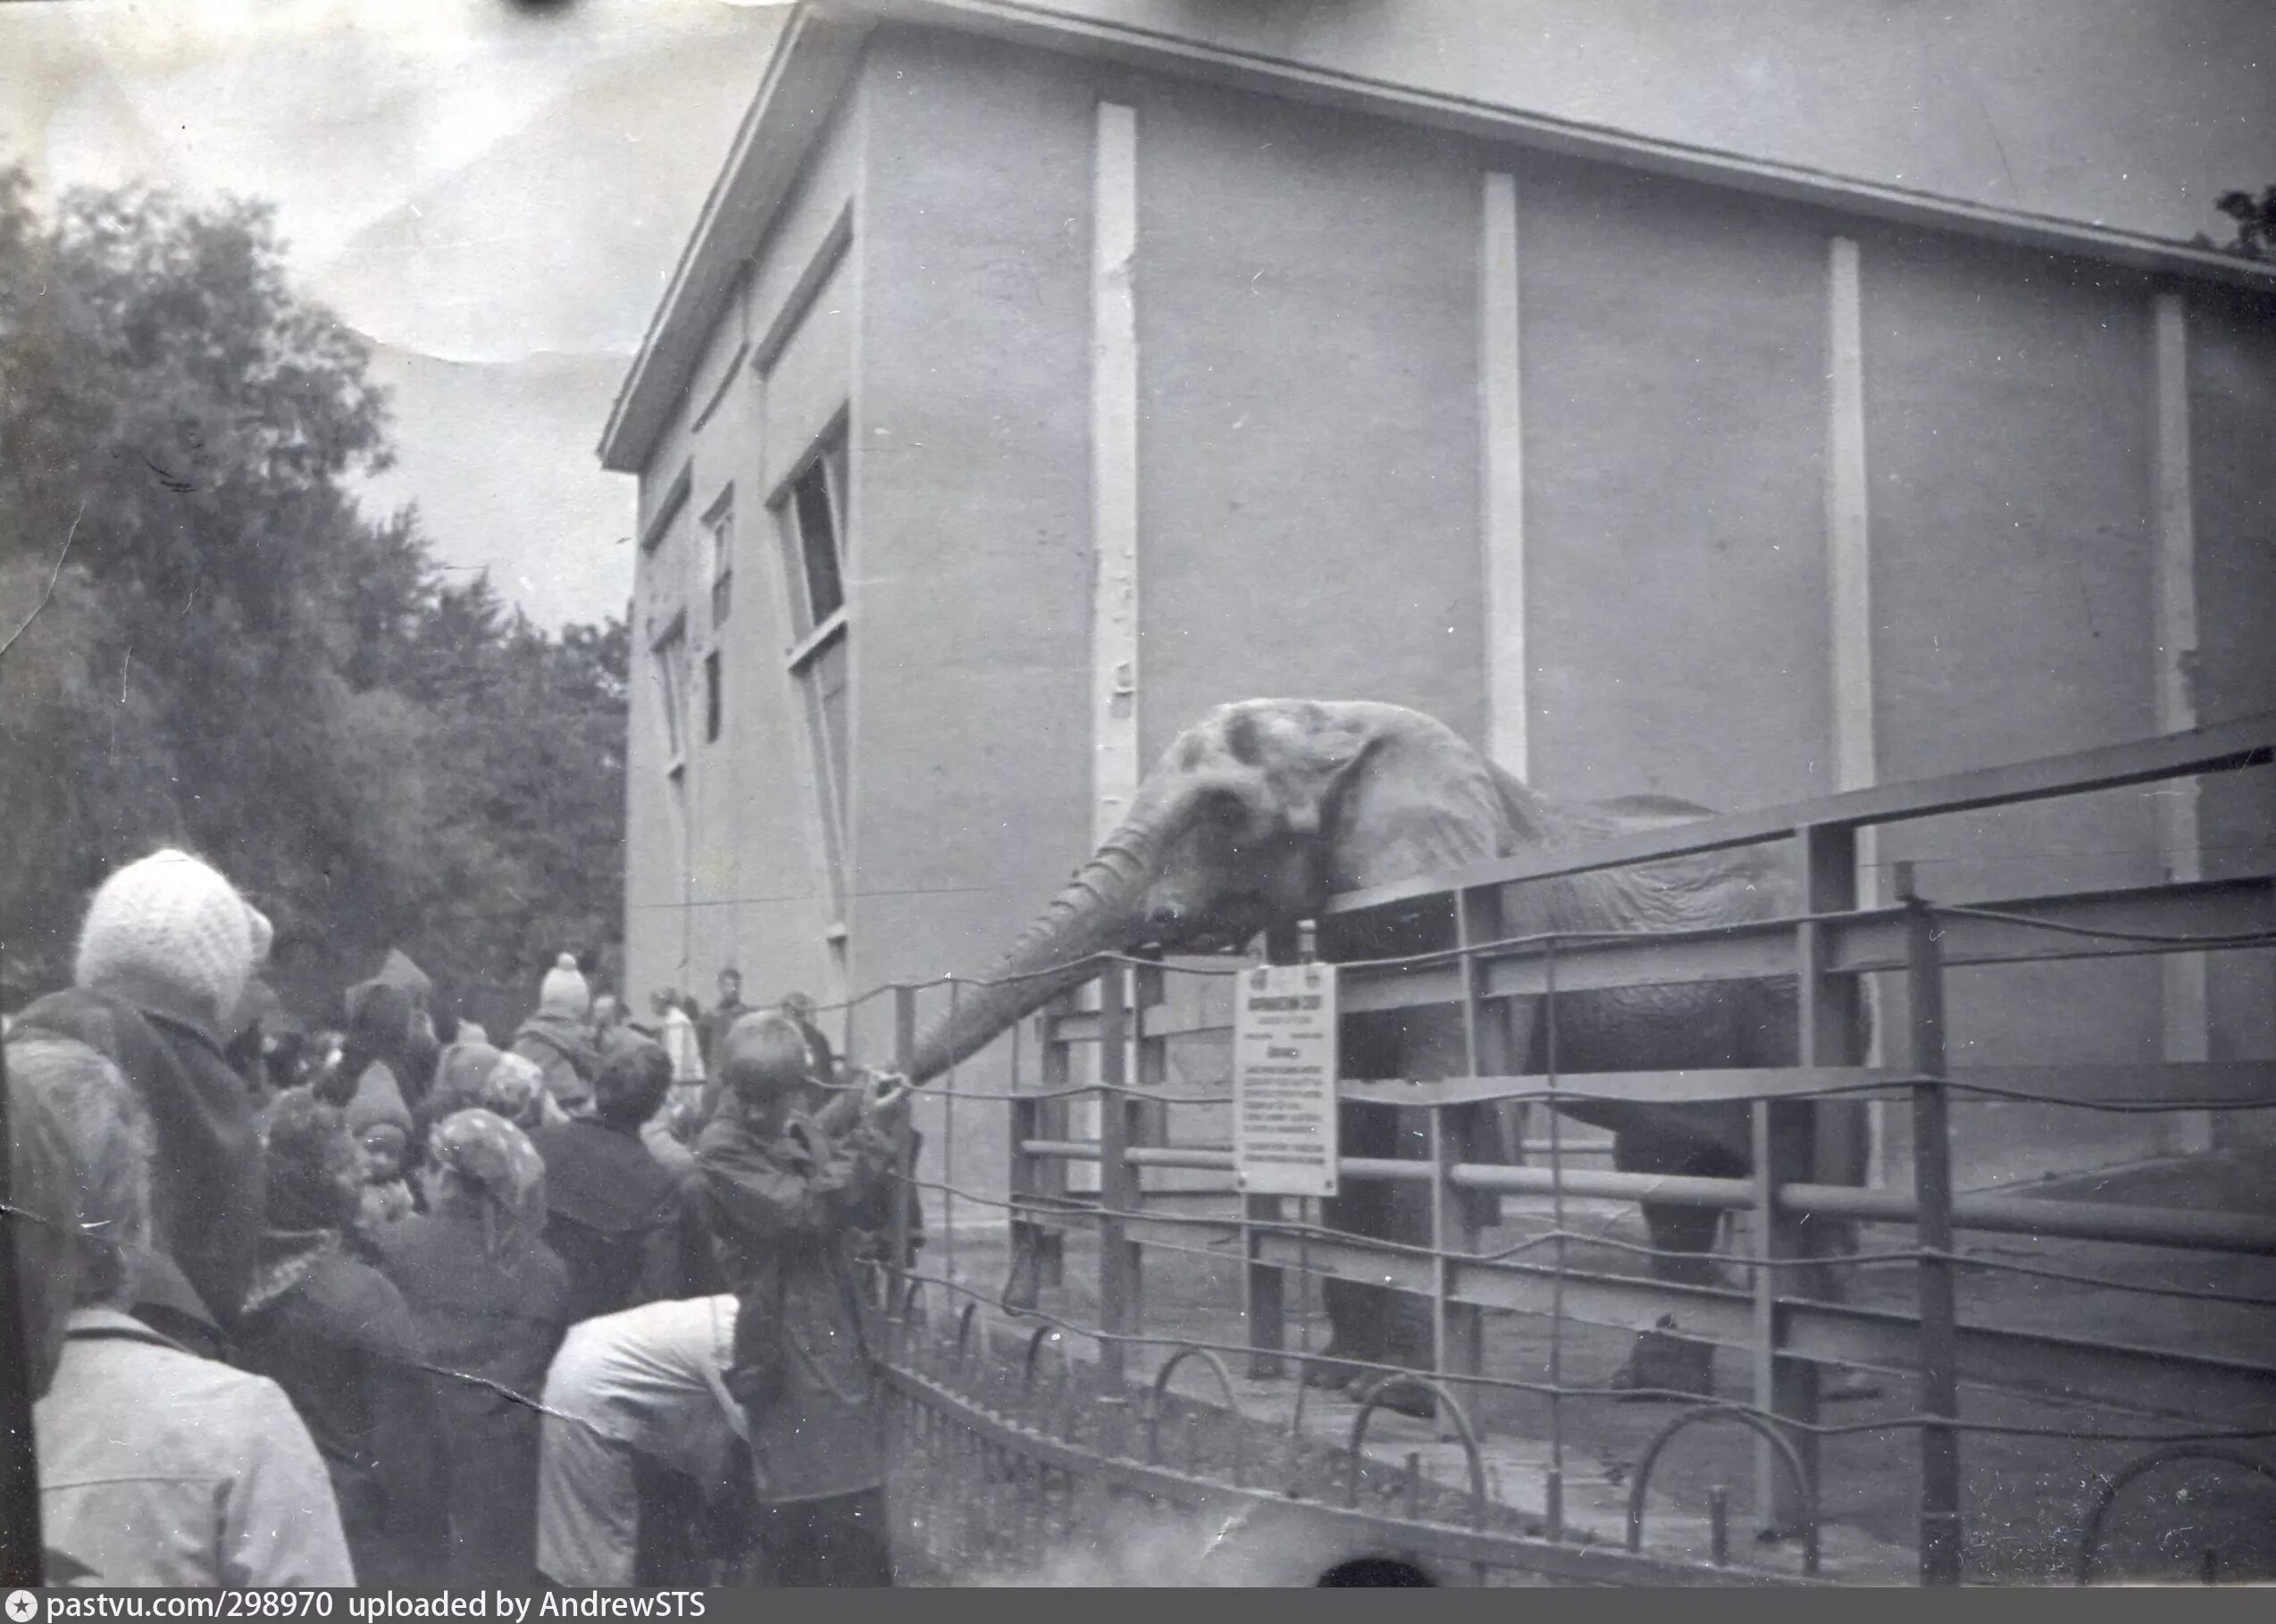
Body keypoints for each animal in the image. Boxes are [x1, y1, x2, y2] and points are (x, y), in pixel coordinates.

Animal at [906, 700, 1866, 1401]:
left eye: (1225, 809)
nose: (881, 1088)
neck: (1342, 719)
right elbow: (1353, 1119)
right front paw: (1340, 1382)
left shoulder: (1461, 923)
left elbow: (1424, 1120)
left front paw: (1398, 1399)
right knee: (1671, 1172)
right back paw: (1652, 1390)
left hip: (1798, 991)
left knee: (1805, 1156)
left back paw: (1828, 1380)